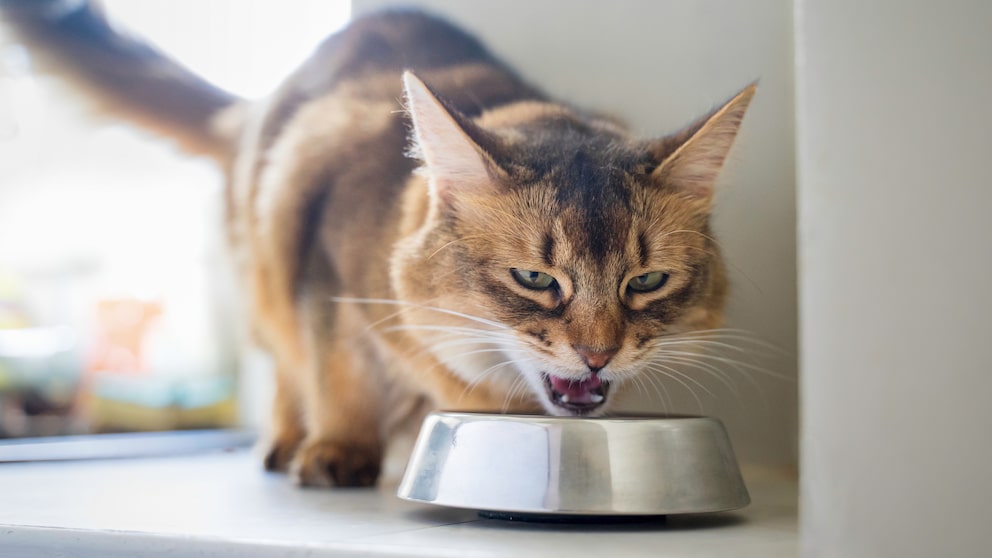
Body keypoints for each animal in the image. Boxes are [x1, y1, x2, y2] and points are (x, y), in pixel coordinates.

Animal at [1, 2, 752, 488]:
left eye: (645, 282)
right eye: (535, 280)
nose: (598, 355)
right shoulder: (326, 272)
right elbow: (341, 371)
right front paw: (339, 450)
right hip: (263, 269)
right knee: (289, 368)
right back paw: (286, 440)